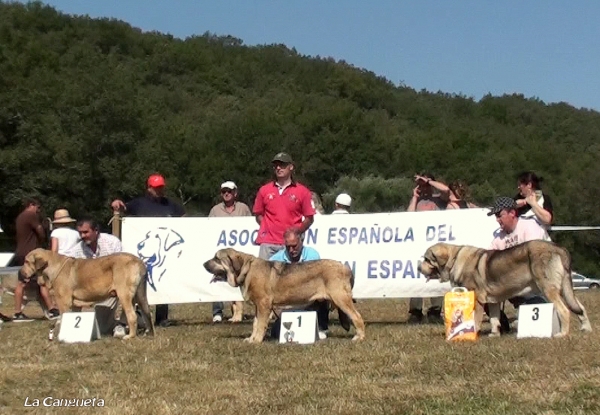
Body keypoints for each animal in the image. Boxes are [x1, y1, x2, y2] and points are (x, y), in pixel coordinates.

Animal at [21, 249, 155, 340]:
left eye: (27, 261)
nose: (20, 273)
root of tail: (139, 261)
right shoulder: (75, 305)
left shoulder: (63, 302)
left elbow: (63, 317)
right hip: (139, 296)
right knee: (146, 313)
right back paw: (149, 332)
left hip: (124, 295)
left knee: (132, 316)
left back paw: (130, 336)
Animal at [204, 249, 366, 342]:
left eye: (217, 258)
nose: (204, 264)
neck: (247, 270)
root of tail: (346, 268)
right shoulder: (258, 307)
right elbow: (255, 324)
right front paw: (251, 339)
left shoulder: (263, 305)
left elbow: (260, 324)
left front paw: (257, 341)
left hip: (341, 299)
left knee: (357, 317)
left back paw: (359, 337)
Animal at [420, 240, 592, 338]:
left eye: (427, 259)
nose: (418, 268)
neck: (454, 259)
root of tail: (559, 249)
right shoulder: (493, 301)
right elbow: (495, 318)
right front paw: (494, 334)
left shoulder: (478, 298)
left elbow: (476, 318)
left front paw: (473, 333)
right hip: (564, 288)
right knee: (580, 308)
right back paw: (586, 329)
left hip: (548, 288)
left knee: (564, 310)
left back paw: (562, 334)